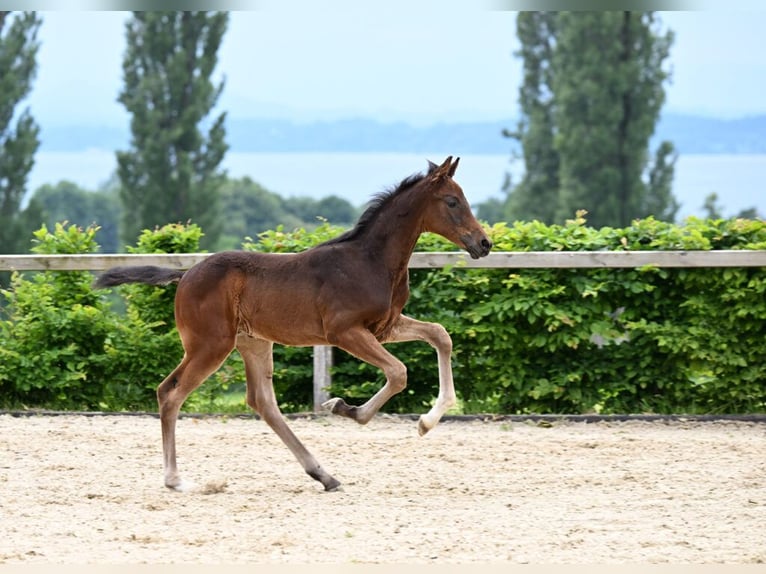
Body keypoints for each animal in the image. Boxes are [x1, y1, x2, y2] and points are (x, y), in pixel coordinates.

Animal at [94, 156, 492, 492]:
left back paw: (324, 475)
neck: (370, 260)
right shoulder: (344, 332)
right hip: (210, 345)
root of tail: (186, 274)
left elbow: (440, 336)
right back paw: (176, 479)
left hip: (253, 342)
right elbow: (398, 372)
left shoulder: (385, 326)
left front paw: (427, 421)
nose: (484, 243)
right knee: (170, 392)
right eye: (452, 201)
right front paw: (345, 409)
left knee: (262, 402)